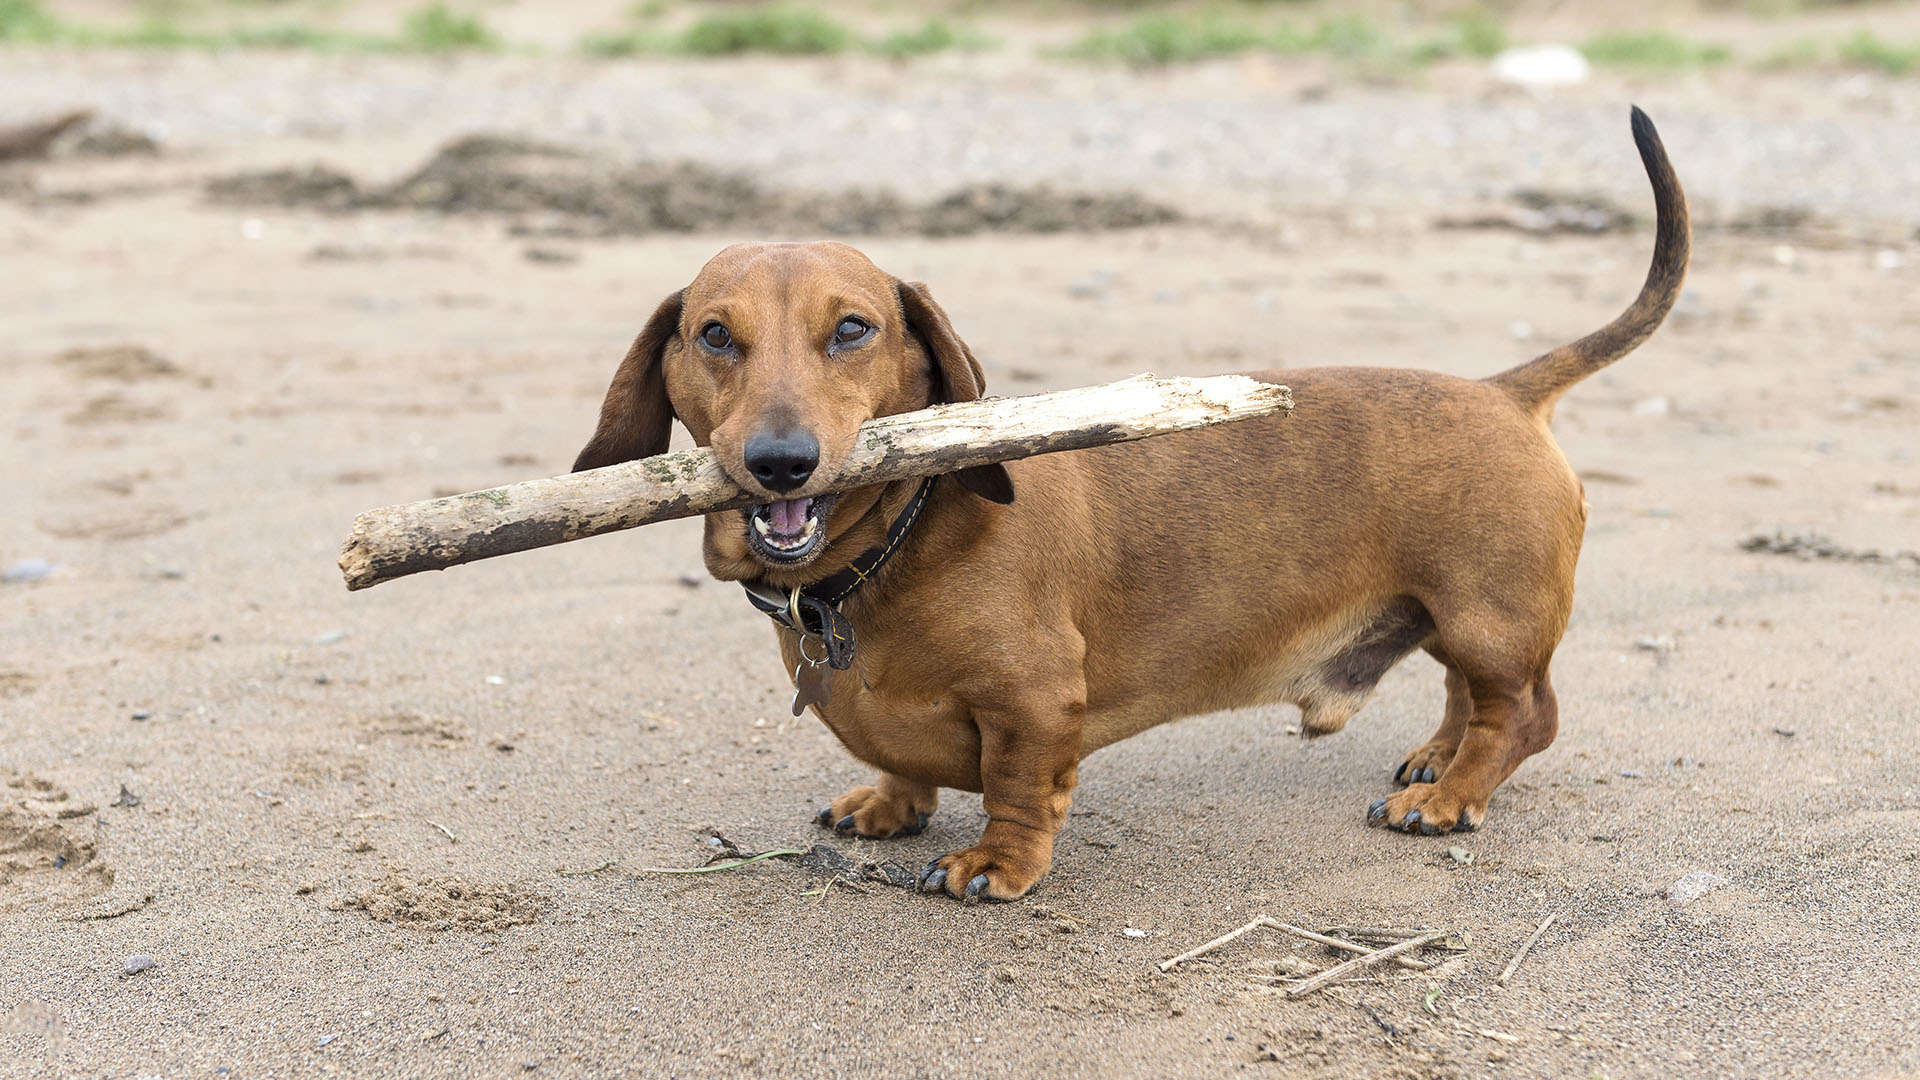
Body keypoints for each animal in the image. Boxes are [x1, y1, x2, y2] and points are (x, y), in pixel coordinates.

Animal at [576, 109, 1689, 899]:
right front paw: (891, 803)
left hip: (1489, 616)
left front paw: (996, 865)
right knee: (1470, 698)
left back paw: (1453, 796)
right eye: (714, 335)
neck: (883, 558)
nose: (779, 461)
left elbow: (1018, 788)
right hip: (1457, 617)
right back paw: (1437, 762)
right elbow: (903, 767)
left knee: (1523, 713)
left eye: (852, 330)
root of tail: (1503, 389)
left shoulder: (1032, 702)